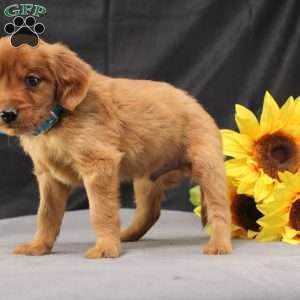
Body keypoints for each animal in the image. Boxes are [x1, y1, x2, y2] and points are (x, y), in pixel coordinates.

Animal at [0, 37, 232, 258]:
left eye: (32, 80)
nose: (6, 114)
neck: (57, 120)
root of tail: (196, 105)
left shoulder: (99, 164)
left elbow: (102, 212)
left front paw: (106, 247)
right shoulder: (49, 176)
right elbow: (46, 215)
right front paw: (38, 246)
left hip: (207, 167)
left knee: (220, 209)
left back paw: (219, 244)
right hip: (146, 181)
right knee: (149, 213)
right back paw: (126, 236)